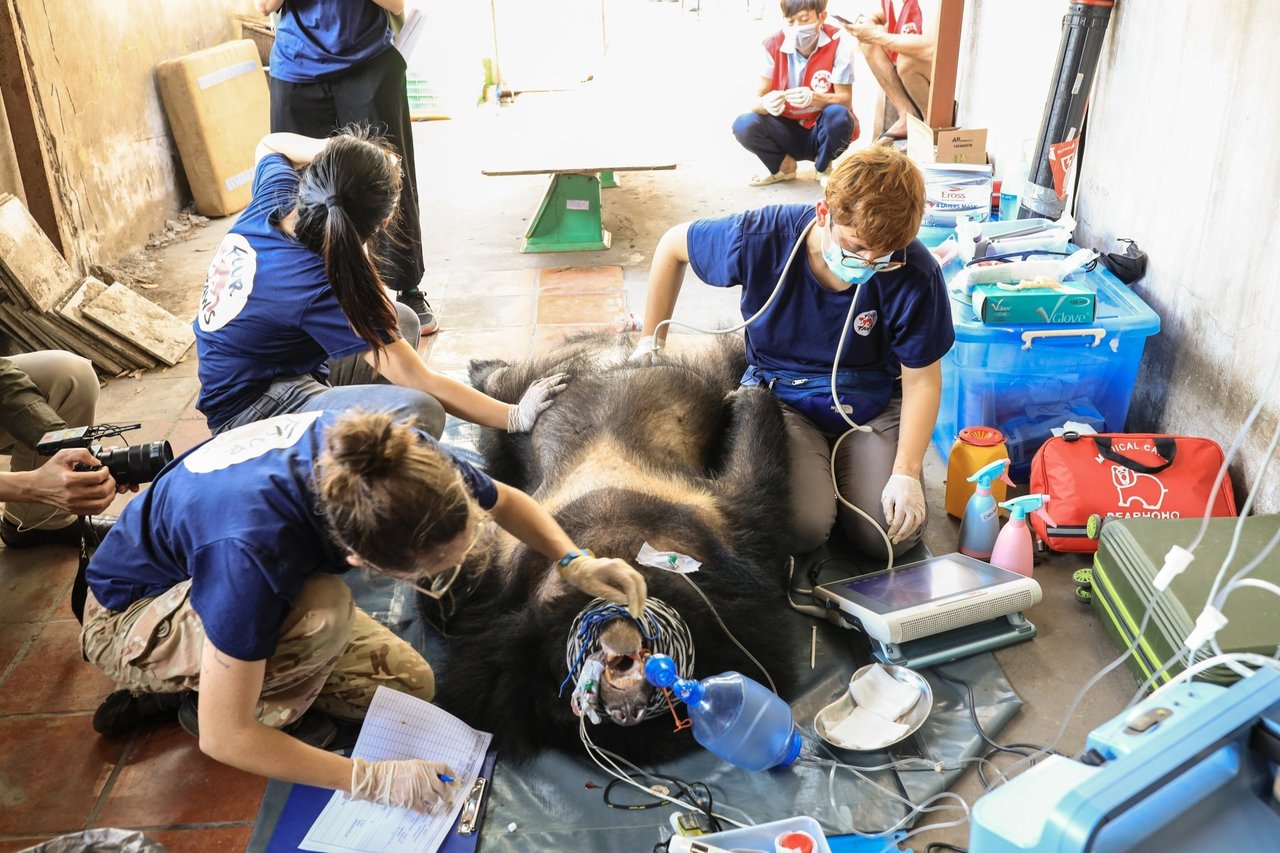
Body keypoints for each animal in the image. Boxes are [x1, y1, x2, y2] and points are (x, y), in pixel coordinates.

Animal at [419, 330, 798, 758]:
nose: (626, 707)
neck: (613, 540)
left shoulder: (724, 524)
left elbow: (759, 482)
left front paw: (750, 395)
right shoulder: (504, 573)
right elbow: (446, 598)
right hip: (540, 380)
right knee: (504, 393)